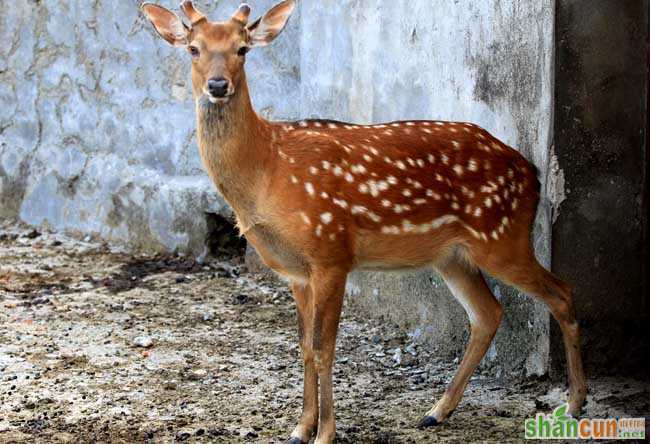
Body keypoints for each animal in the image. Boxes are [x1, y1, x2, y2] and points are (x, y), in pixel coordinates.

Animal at [142, 1, 588, 442]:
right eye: (194, 49)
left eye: (242, 49)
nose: (218, 86)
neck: (266, 170)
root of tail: (532, 172)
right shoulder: (296, 272)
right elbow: (304, 345)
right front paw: (299, 428)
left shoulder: (331, 252)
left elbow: (325, 346)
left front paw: (325, 433)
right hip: (452, 255)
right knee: (487, 313)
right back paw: (436, 411)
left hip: (502, 234)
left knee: (561, 292)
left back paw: (574, 403)